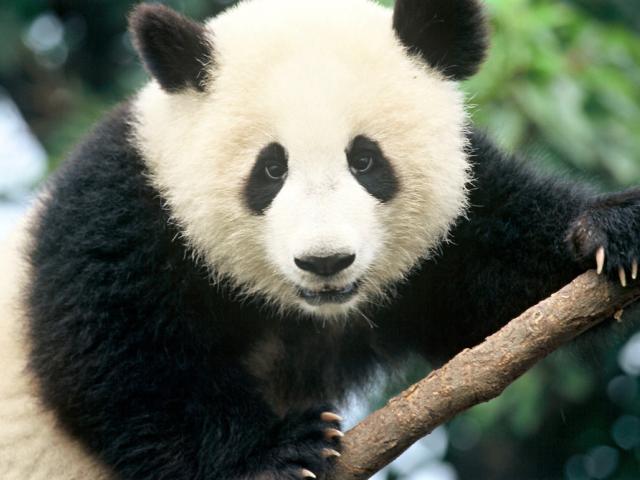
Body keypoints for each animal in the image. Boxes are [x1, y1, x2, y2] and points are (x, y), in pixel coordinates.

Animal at [1, 0, 640, 478]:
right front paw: (277, 452)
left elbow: (494, 280)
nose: (325, 261)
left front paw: (610, 232)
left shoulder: (455, 227)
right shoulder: (123, 210)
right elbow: (117, 362)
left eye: (365, 160)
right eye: (270, 169)